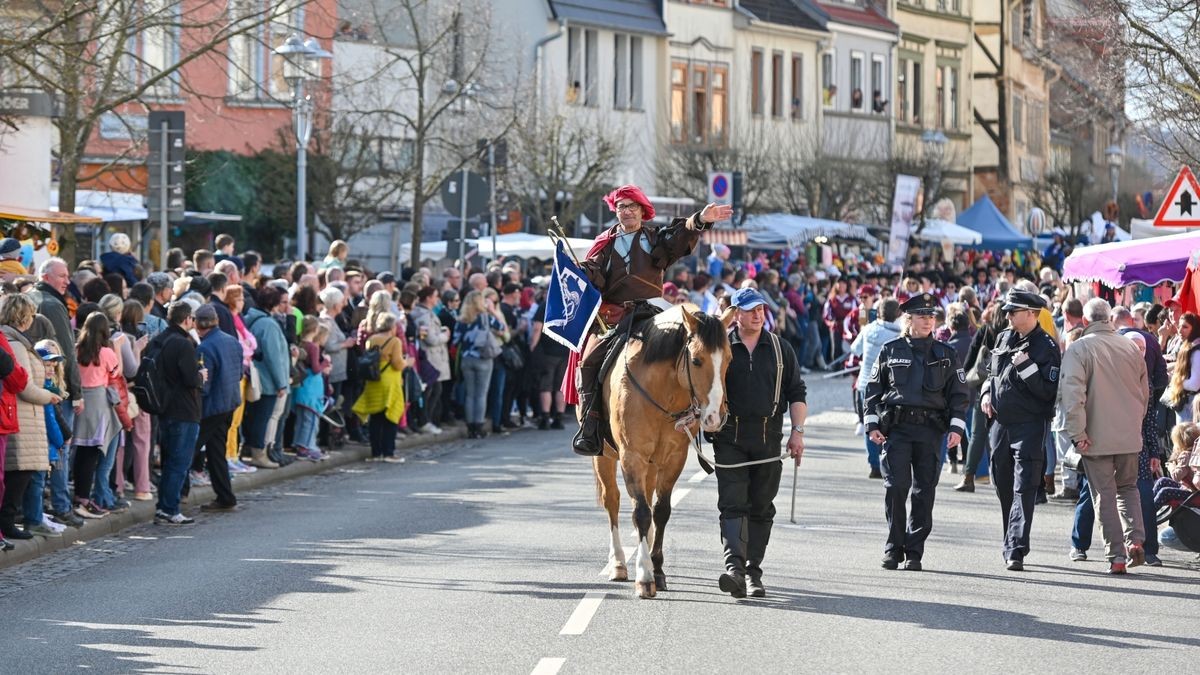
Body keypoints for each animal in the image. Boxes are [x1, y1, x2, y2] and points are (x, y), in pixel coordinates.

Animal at [588, 302, 729, 595]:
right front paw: (644, 575)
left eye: (729, 359)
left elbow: (660, 511)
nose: (714, 417)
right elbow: (641, 512)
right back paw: (618, 562)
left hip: (652, 464)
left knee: (646, 498)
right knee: (613, 500)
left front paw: (657, 568)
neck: (663, 391)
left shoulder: (674, 457)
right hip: (604, 455)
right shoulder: (632, 456)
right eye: (697, 360)